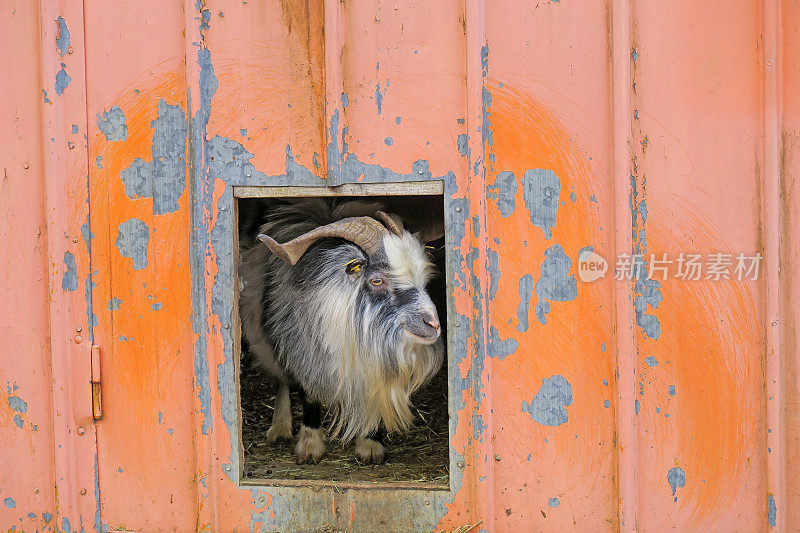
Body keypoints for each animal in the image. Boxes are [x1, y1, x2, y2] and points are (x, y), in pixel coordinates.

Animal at [241, 197, 446, 464]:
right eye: (377, 280)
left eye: (423, 278)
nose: (432, 324)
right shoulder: (303, 348)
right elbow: (308, 394)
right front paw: (310, 446)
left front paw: (370, 444)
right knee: (282, 379)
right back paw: (280, 428)